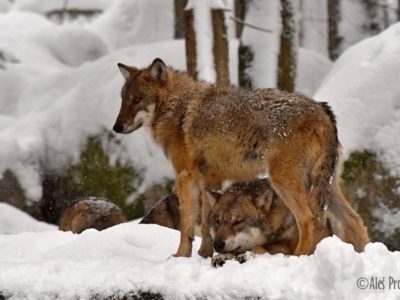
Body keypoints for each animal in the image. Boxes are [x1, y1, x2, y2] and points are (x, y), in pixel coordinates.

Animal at [113, 58, 360, 258]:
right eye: (123, 99)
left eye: (137, 99)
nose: (116, 127)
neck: (177, 108)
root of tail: (323, 109)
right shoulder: (210, 179)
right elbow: (207, 222)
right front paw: (206, 253)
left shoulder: (185, 176)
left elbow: (186, 226)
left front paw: (180, 256)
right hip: (324, 186)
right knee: (354, 221)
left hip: (284, 182)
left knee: (308, 220)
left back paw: (298, 257)